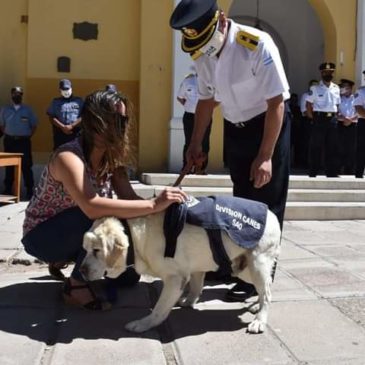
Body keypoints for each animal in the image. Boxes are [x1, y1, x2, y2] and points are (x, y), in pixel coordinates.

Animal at [81, 205, 280, 332]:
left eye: (97, 251)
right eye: (86, 249)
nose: (82, 271)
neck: (138, 239)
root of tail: (272, 215)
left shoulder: (175, 278)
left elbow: (159, 309)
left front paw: (143, 324)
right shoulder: (196, 267)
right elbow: (196, 287)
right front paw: (189, 301)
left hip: (256, 264)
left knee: (268, 292)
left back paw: (260, 320)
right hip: (242, 267)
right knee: (266, 289)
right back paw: (256, 306)